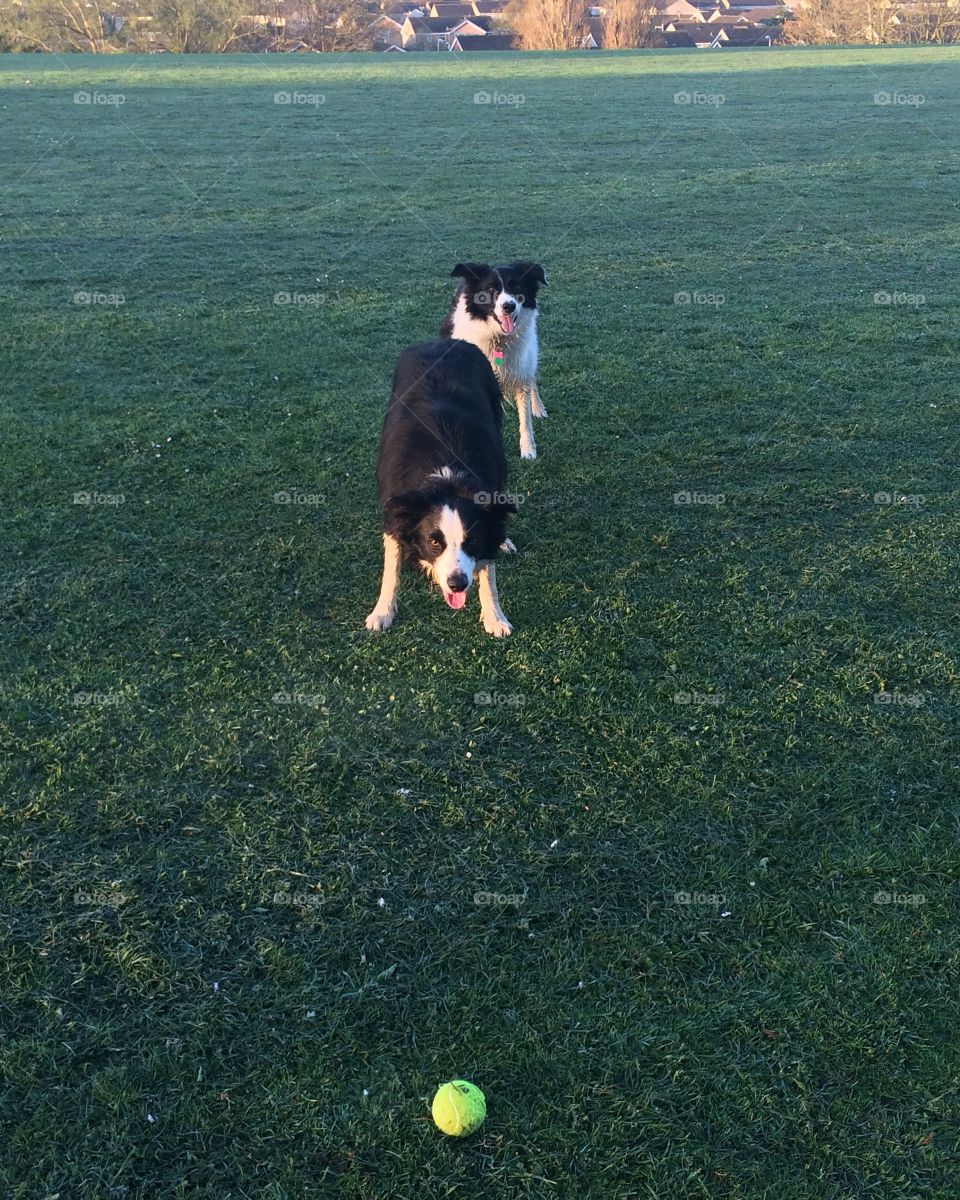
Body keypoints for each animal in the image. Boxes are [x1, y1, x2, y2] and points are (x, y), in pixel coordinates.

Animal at [364, 338, 518, 638]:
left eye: (472, 540)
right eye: (435, 541)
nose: (457, 584)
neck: (447, 480)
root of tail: (444, 342)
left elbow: (489, 571)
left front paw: (495, 617)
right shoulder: (397, 509)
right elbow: (391, 568)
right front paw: (382, 612)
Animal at [436, 260, 544, 460]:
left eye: (516, 286)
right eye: (491, 289)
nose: (509, 306)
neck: (498, 338)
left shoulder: (520, 372)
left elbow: (525, 418)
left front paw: (528, 450)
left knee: (531, 378)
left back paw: (538, 407)